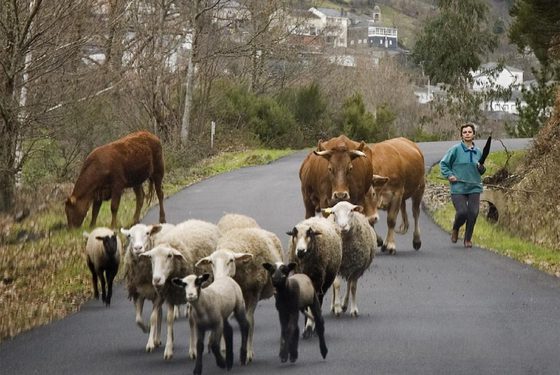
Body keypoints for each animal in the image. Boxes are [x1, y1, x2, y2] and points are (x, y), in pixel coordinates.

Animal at [141, 220, 222, 362]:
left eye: (169, 256)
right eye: (150, 257)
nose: (156, 279)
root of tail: (200, 221)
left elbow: (192, 321)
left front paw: (193, 351)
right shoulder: (170, 296)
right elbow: (169, 320)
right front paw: (168, 350)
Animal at [197, 226, 284, 364]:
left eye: (231, 260)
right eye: (211, 262)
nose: (219, 279)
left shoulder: (254, 293)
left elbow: (249, 322)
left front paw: (248, 353)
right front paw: (224, 350)